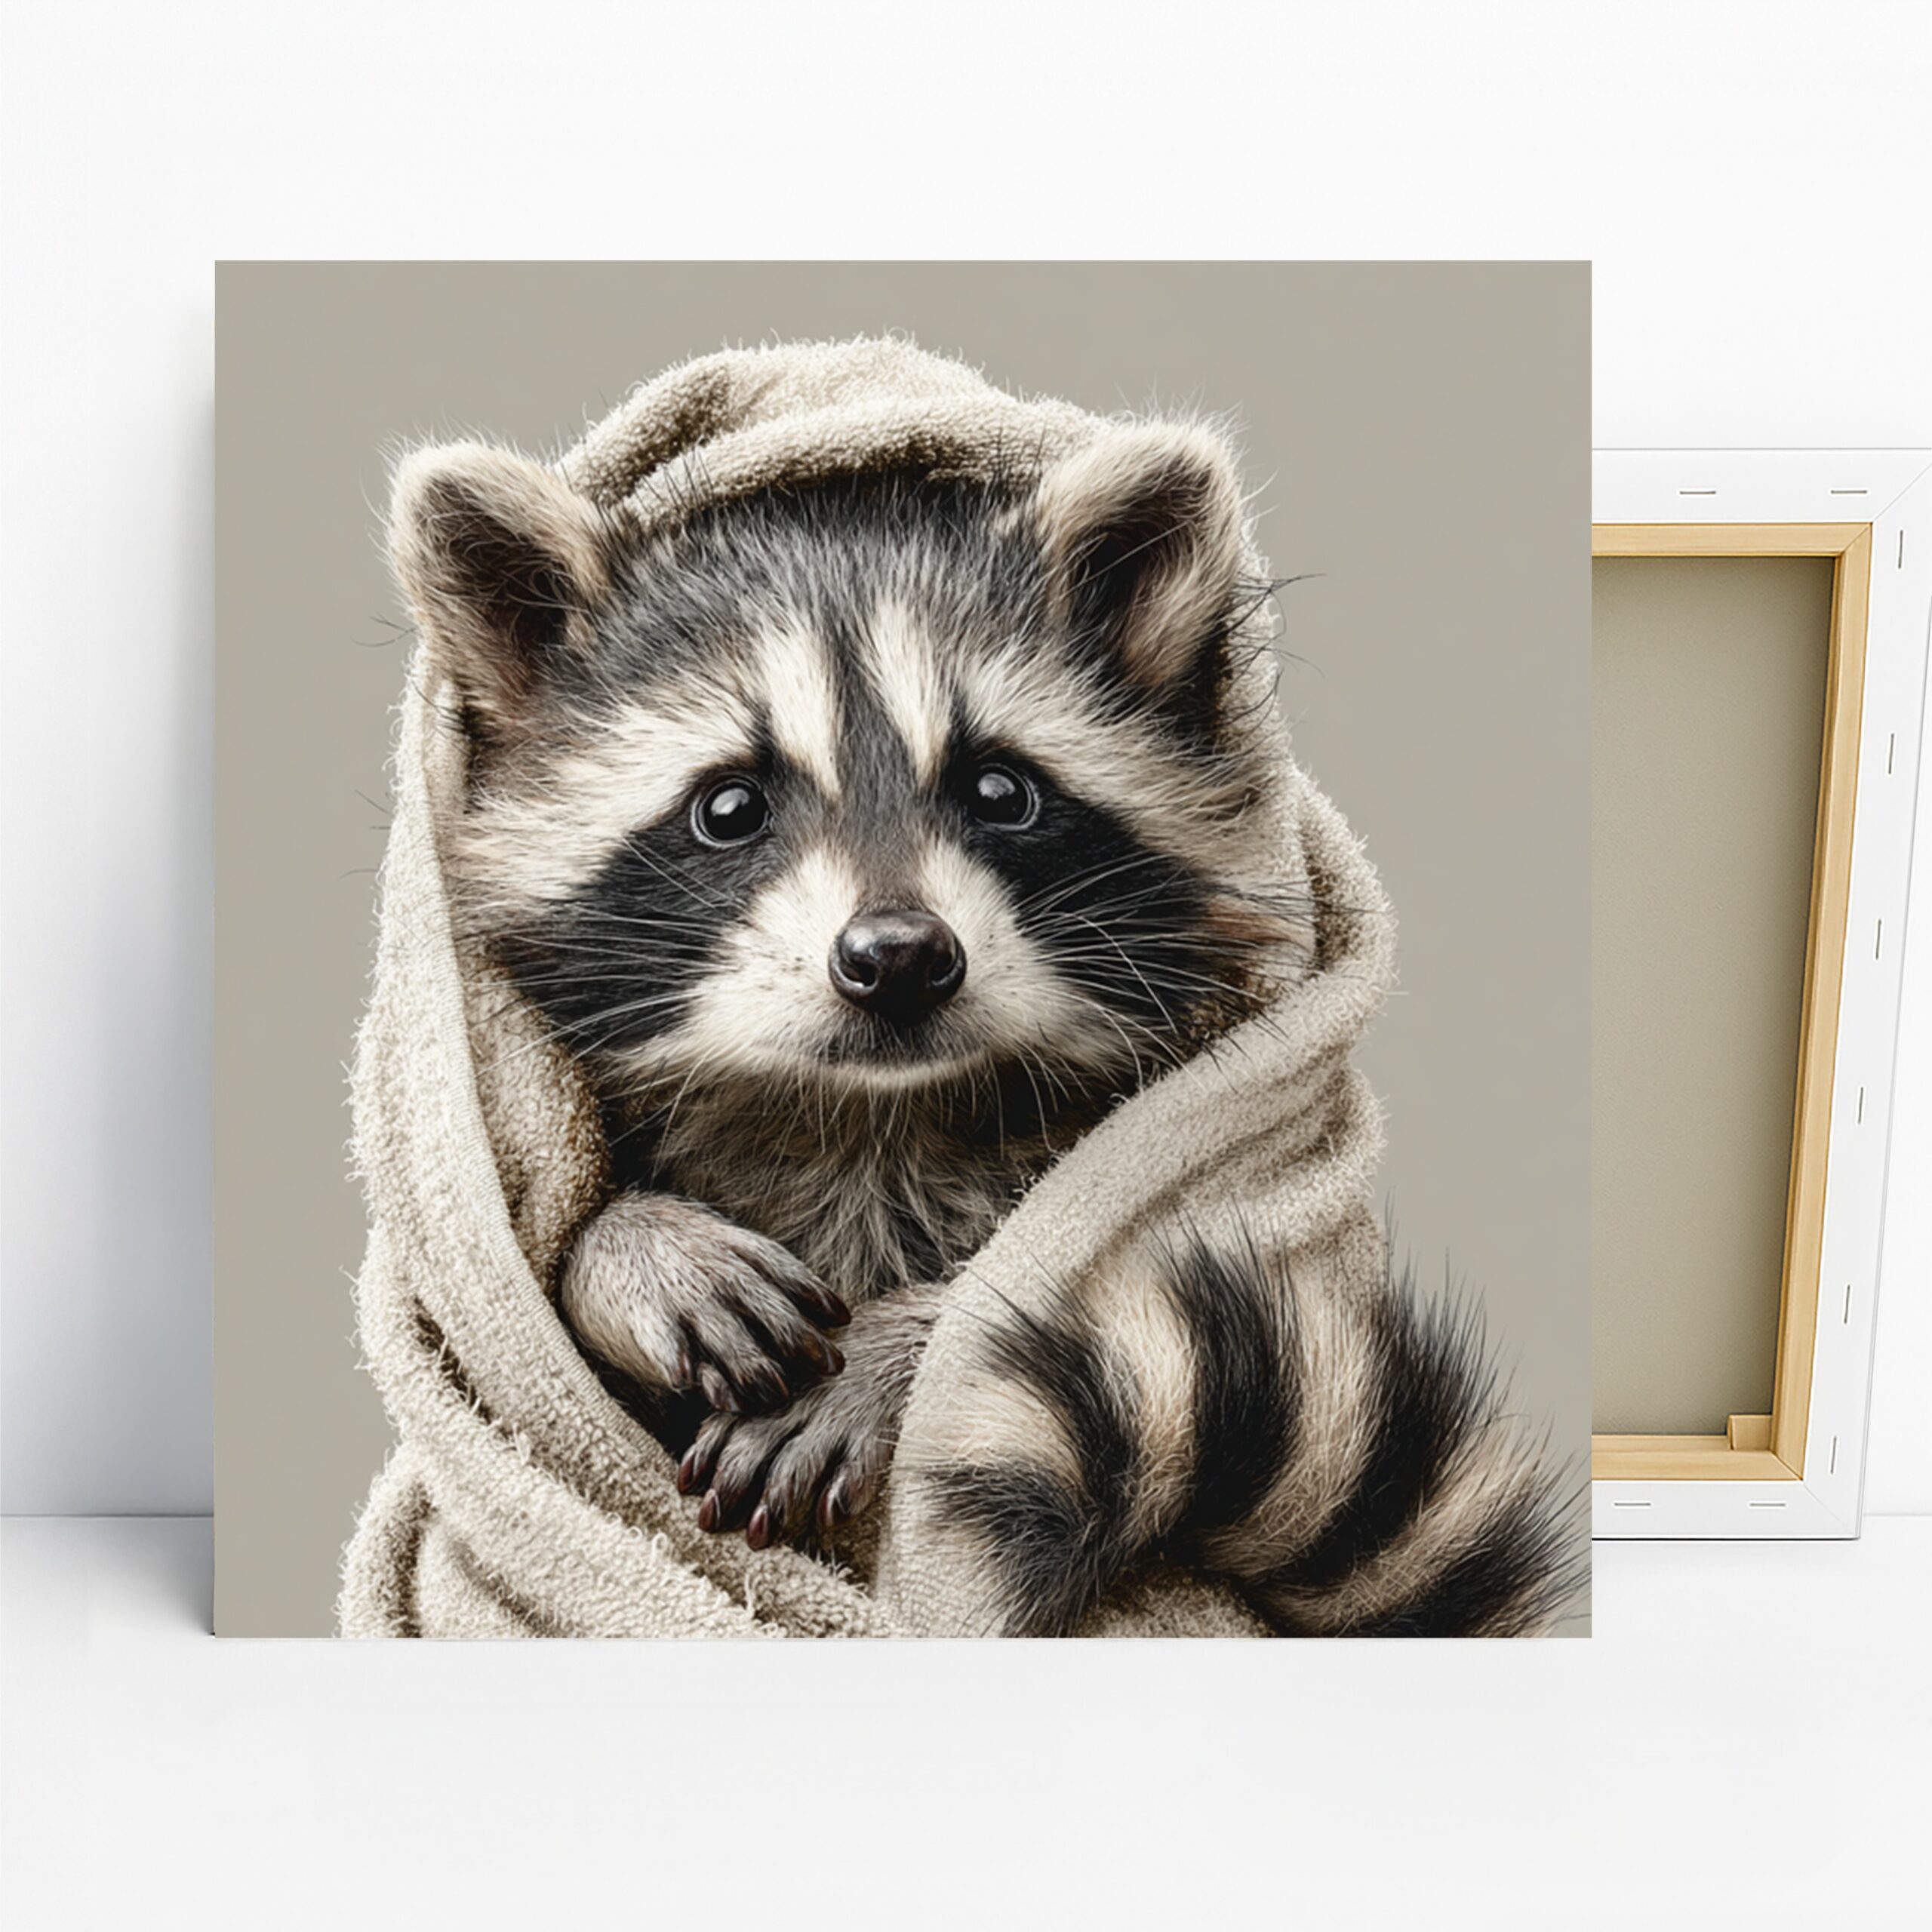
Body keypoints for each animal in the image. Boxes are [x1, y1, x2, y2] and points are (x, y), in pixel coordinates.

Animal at [388, 420, 1574, 1637]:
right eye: (728, 807)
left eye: (1001, 790)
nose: (899, 959)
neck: (876, 1117)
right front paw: (626, 1251)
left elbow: (1034, 1306)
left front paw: (905, 1340)